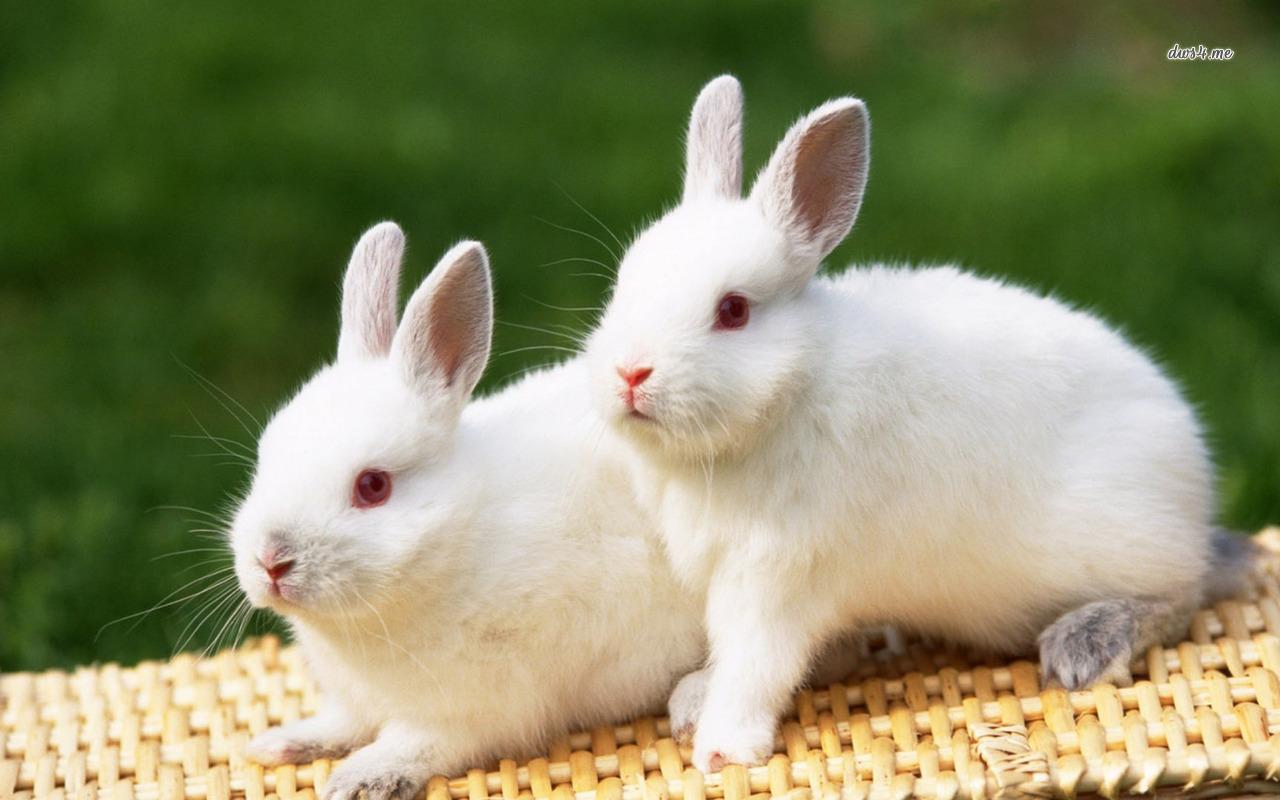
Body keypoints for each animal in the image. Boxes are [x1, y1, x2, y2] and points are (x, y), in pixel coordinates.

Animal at [230, 222, 707, 800]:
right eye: (266, 455)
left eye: (373, 486)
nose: (271, 561)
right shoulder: (353, 701)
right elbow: (341, 723)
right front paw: (282, 743)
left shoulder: (476, 710)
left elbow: (419, 743)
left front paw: (361, 779)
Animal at [584, 75, 1243, 773]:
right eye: (623, 285)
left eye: (732, 310)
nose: (630, 373)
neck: (789, 394)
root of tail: (1194, 481)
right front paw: (693, 697)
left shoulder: (776, 577)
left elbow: (755, 665)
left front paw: (722, 748)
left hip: (1130, 544)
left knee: (1182, 596)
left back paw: (1084, 644)